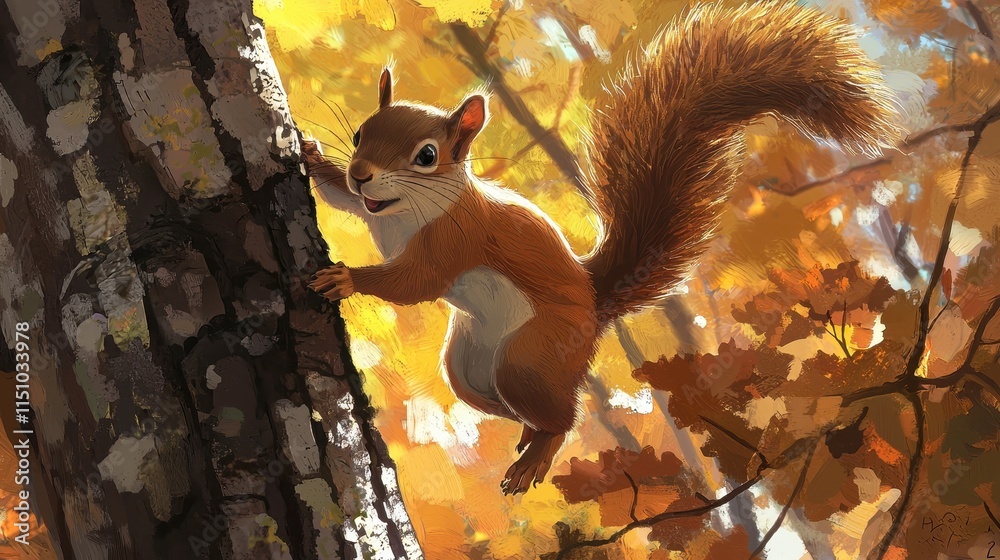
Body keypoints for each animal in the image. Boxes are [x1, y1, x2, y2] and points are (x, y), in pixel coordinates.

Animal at [301, 2, 897, 495]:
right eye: (359, 134)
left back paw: (536, 457)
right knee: (521, 406)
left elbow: (412, 284)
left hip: (531, 355)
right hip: (469, 367)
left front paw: (347, 278)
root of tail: (594, 306)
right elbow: (343, 201)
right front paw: (313, 157)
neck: (402, 212)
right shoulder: (369, 209)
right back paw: (528, 436)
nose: (361, 172)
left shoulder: (455, 241)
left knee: (568, 416)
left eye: (426, 155)